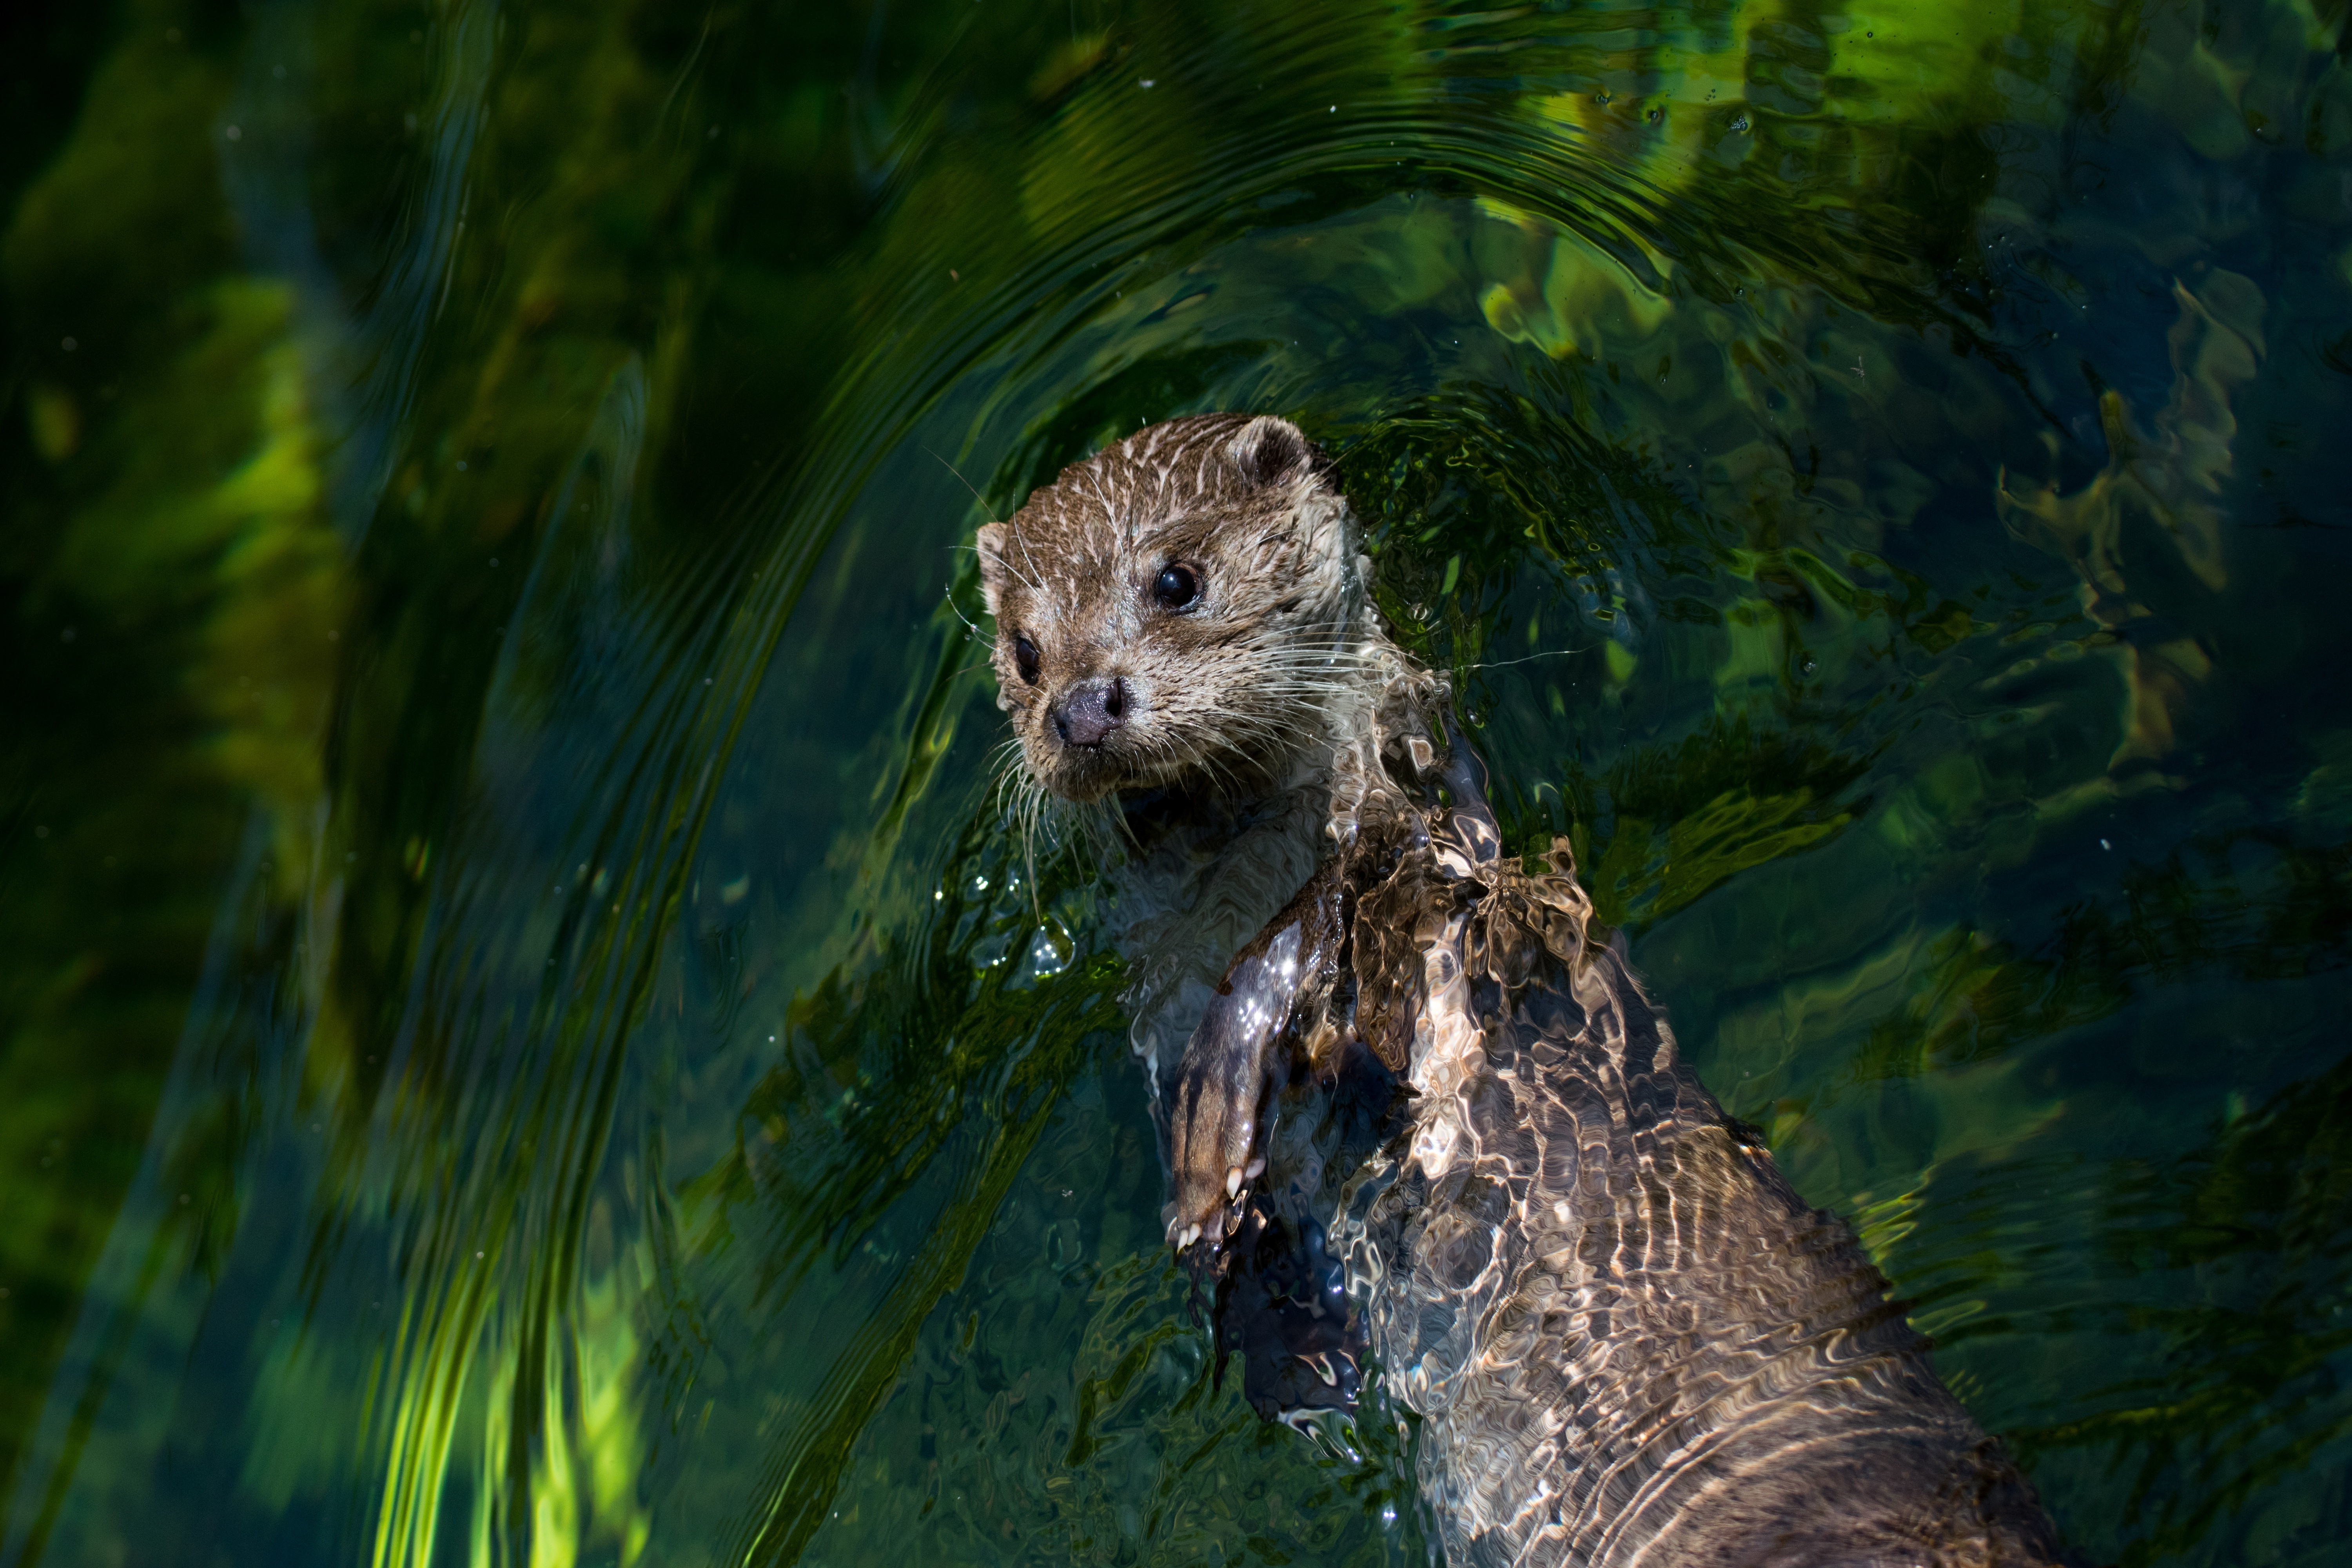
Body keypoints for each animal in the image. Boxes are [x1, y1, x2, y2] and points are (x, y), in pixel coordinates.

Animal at [976, 413, 2067, 1568]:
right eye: (1027, 652)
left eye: (1176, 580)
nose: (1079, 706)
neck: (1244, 871)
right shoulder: (1164, 1003)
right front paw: (1281, 1334)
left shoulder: (1416, 866)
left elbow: (1297, 973)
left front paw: (1214, 1152)